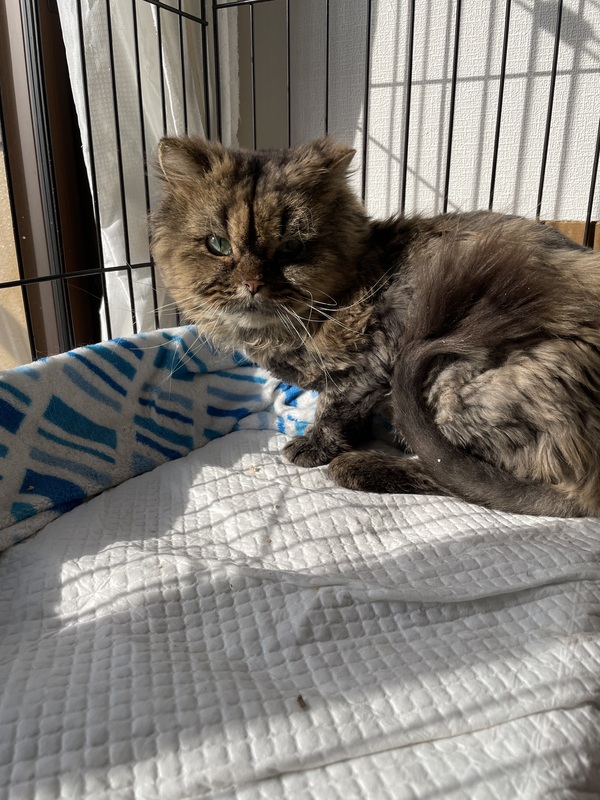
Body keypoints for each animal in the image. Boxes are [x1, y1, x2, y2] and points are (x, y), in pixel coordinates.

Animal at [151, 135, 600, 517]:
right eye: (218, 246)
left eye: (290, 249)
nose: (251, 283)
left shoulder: (373, 363)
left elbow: (333, 411)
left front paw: (315, 447)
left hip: (457, 383)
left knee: (455, 475)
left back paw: (360, 465)